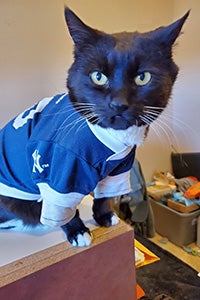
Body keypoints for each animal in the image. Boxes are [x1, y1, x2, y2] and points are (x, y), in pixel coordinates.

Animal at [0, 8, 189, 246]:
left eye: (143, 77)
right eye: (98, 76)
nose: (118, 104)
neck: (114, 137)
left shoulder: (118, 169)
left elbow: (105, 196)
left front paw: (104, 216)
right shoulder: (61, 174)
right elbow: (63, 209)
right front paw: (77, 231)